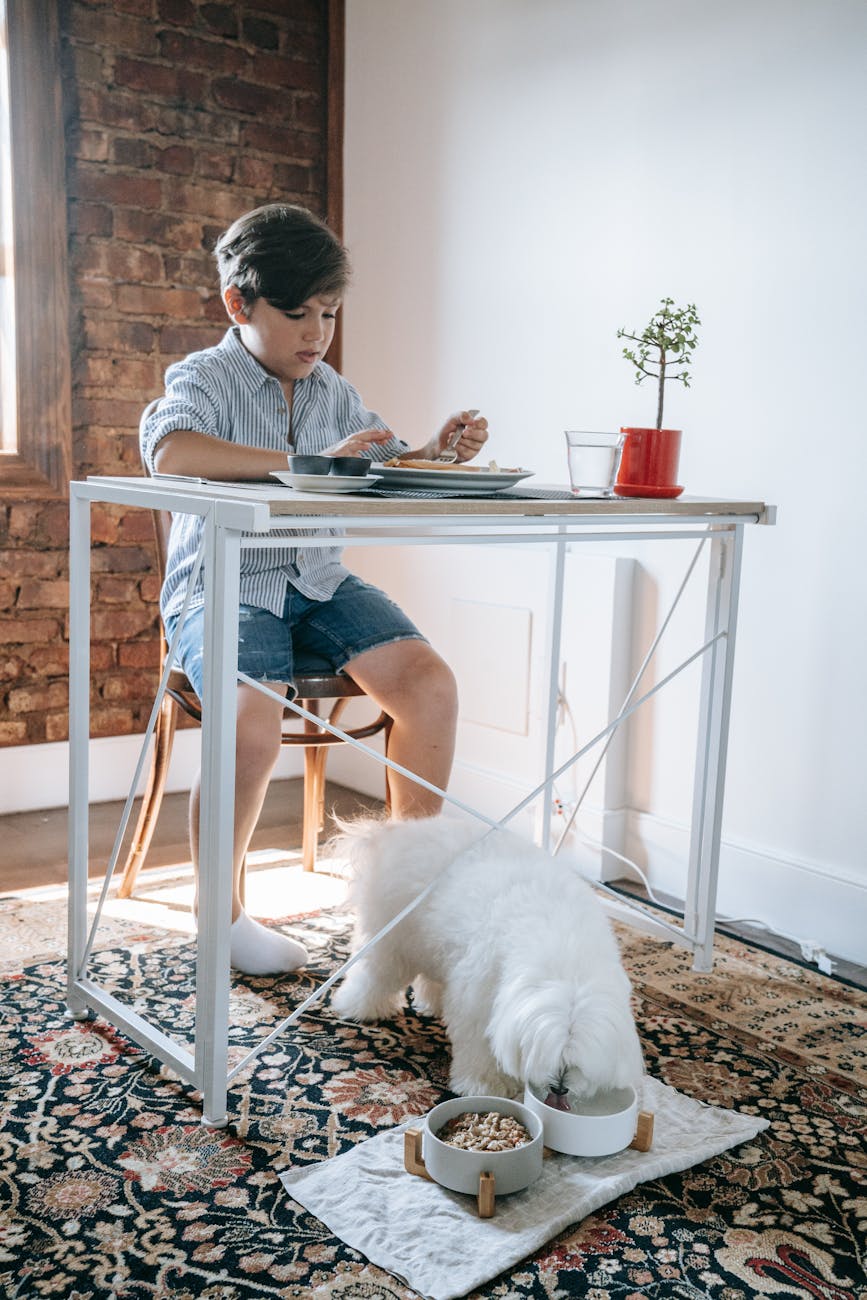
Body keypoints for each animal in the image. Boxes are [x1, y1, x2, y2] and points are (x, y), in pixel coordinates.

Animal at [332, 816, 644, 1102]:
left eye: (576, 1063)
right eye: (548, 1055)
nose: (560, 1087)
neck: (566, 953)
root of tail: (387, 834)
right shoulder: (478, 996)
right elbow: (479, 1045)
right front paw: (485, 1085)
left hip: (433, 942)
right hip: (392, 939)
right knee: (373, 974)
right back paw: (358, 1008)